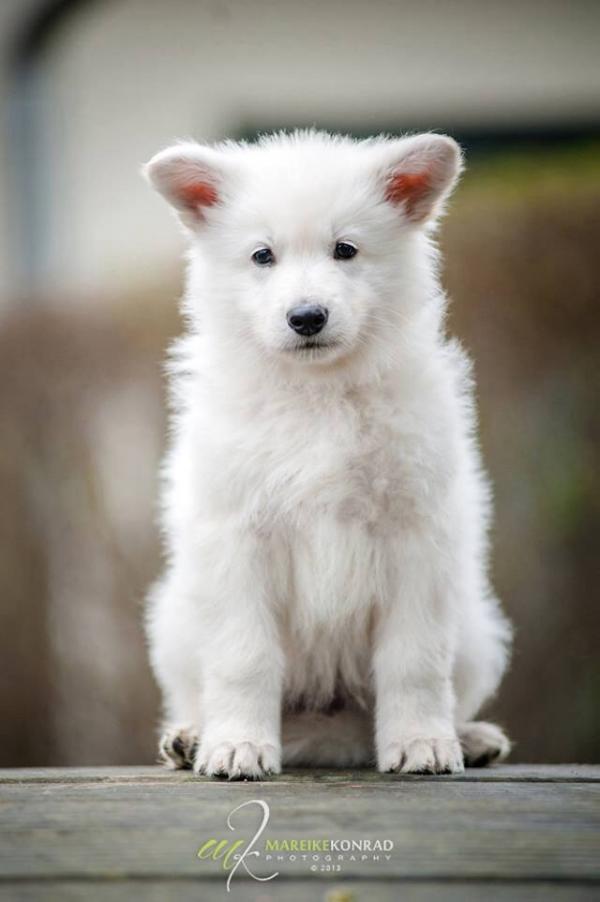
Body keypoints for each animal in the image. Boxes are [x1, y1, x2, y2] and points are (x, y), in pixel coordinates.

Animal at [142, 131, 510, 780]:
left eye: (346, 250)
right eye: (263, 256)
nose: (307, 317)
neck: (317, 395)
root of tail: (327, 725)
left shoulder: (417, 534)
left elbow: (414, 659)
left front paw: (421, 742)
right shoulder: (237, 538)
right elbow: (243, 657)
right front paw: (238, 746)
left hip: (475, 627)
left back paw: (467, 736)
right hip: (175, 622)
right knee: (198, 690)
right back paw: (192, 737)